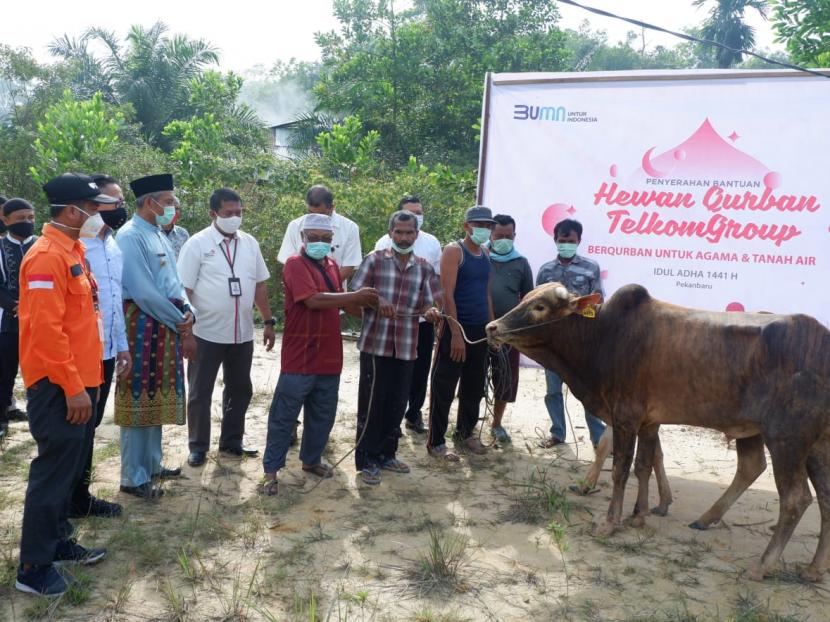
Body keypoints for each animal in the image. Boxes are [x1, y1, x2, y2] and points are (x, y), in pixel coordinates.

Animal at [488, 284, 830, 584]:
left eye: (540, 307)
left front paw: (610, 522)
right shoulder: (649, 422)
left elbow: (622, 468)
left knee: (795, 498)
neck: (601, 336)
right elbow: (645, 465)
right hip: (811, 444)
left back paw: (762, 565)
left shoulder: (626, 415)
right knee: (814, 492)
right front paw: (639, 515)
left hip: (786, 439)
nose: (492, 327)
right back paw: (812, 568)